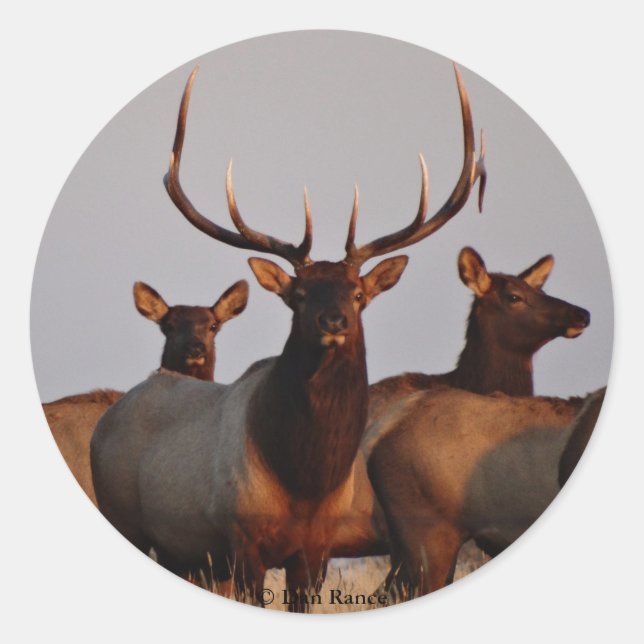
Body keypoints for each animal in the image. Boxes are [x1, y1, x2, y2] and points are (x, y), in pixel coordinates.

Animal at [90, 63, 485, 611]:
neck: (304, 483)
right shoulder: (241, 538)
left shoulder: (316, 549)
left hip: (178, 552)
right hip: (123, 518)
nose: (333, 321)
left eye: (358, 293)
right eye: (298, 294)